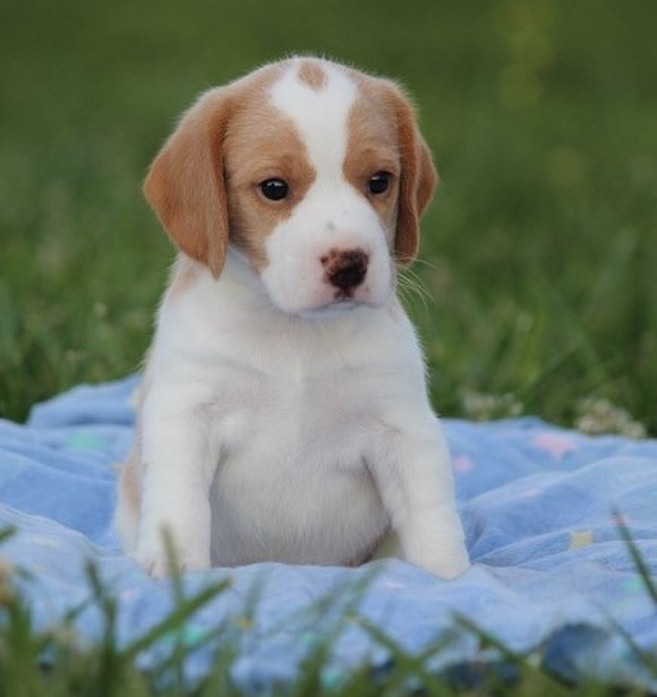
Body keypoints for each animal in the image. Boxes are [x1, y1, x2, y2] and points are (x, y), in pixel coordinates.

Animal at [115, 54, 468, 580]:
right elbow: (180, 501)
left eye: (379, 181)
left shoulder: (403, 427)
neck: (293, 330)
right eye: (275, 188)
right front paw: (175, 569)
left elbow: (431, 514)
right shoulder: (185, 412)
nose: (349, 263)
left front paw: (449, 577)